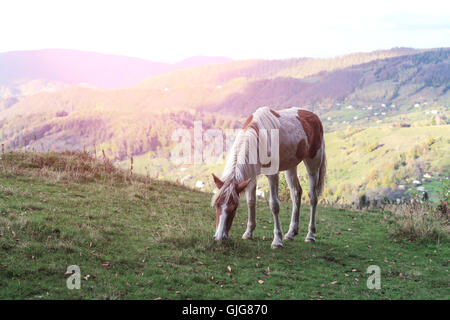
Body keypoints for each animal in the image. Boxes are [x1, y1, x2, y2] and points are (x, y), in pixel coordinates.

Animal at [212, 106, 326, 249]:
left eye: (233, 208)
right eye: (217, 205)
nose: (219, 237)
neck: (259, 136)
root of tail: (314, 117)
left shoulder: (272, 175)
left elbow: (274, 205)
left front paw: (277, 240)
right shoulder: (251, 176)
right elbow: (251, 201)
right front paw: (248, 233)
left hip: (313, 164)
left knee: (313, 197)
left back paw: (310, 235)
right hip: (291, 166)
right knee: (296, 193)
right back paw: (291, 233)